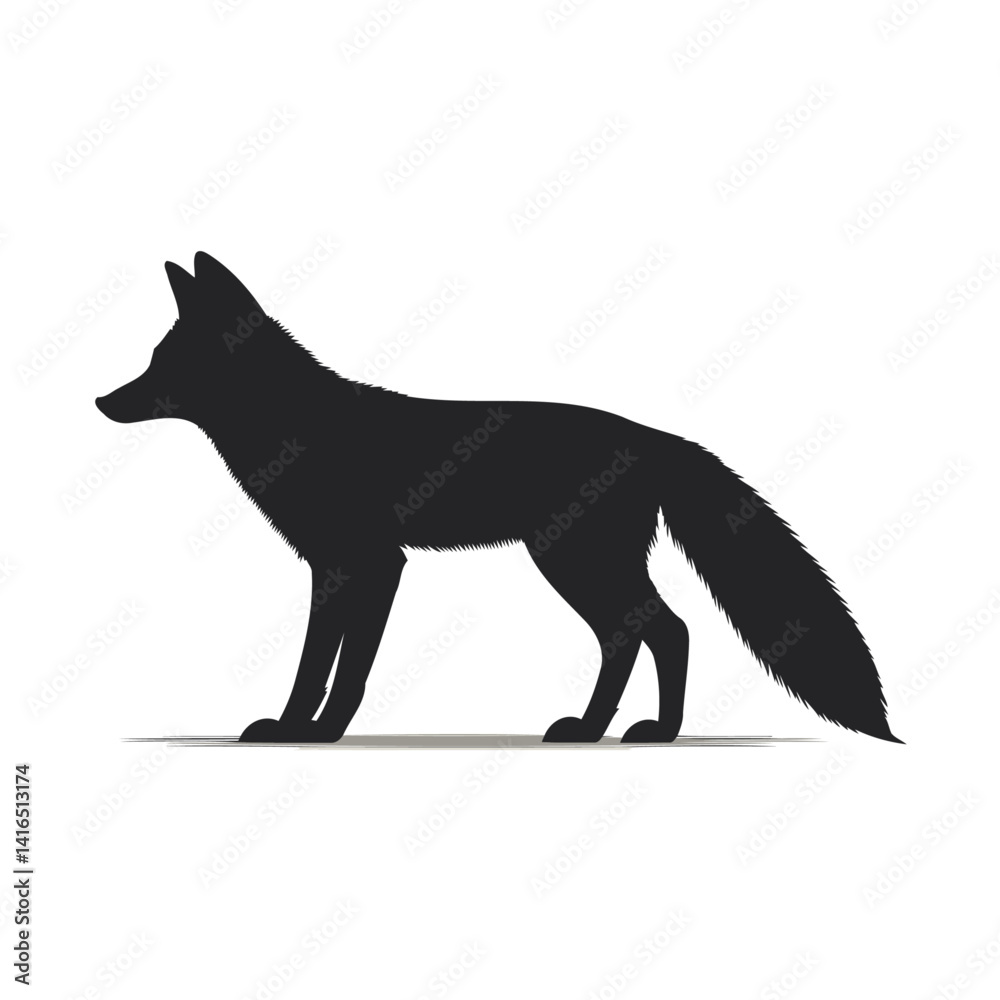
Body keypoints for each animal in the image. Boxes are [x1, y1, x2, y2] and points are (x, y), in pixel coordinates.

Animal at [96, 252, 900, 744]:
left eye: (165, 363)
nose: (102, 401)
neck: (300, 427)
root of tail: (653, 436)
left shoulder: (371, 564)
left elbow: (338, 667)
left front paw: (315, 732)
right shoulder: (336, 567)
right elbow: (321, 663)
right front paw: (303, 727)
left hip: (574, 562)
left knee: (659, 630)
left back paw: (633, 732)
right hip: (580, 565)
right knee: (646, 633)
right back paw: (607, 729)